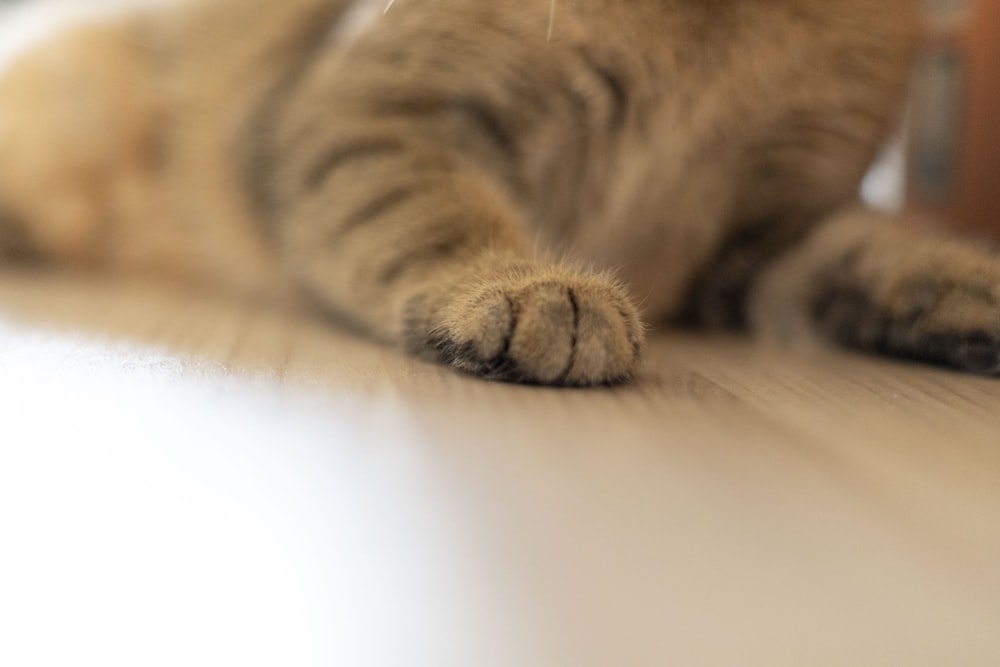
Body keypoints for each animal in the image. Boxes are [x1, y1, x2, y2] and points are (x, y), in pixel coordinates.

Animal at [0, 0, 996, 386]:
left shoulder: (772, 227)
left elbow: (876, 252)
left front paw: (968, 284)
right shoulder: (371, 113)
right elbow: (438, 216)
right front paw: (528, 288)